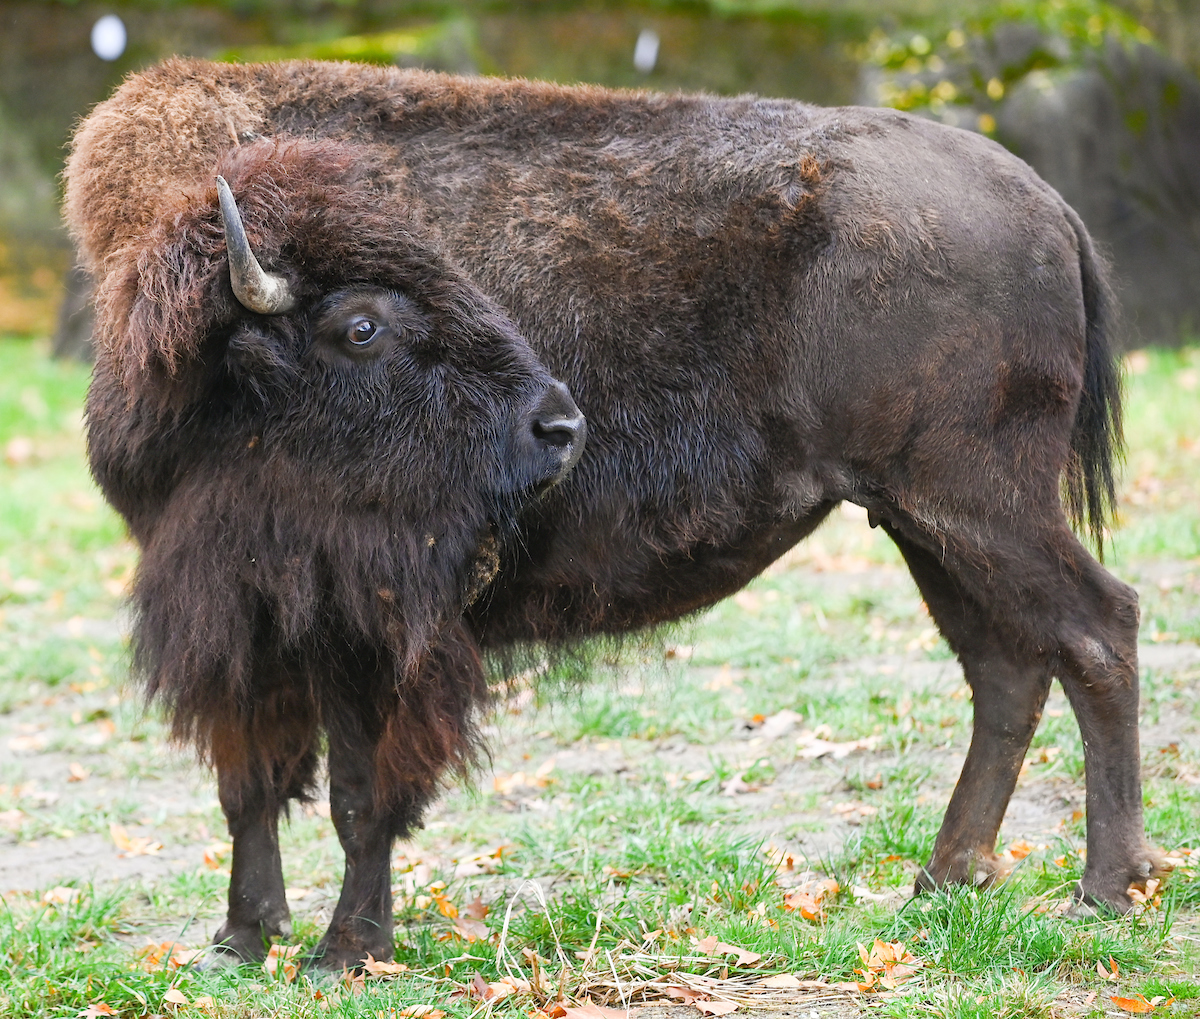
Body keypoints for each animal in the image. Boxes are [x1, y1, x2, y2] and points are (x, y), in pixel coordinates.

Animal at [65, 57, 1156, 971]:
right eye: (362, 324)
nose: (559, 425)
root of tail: (1048, 204)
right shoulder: (245, 623)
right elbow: (249, 782)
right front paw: (240, 939)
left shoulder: (378, 633)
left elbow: (361, 793)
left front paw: (345, 950)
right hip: (917, 518)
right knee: (1006, 666)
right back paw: (942, 881)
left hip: (979, 501)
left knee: (1097, 630)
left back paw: (1102, 890)